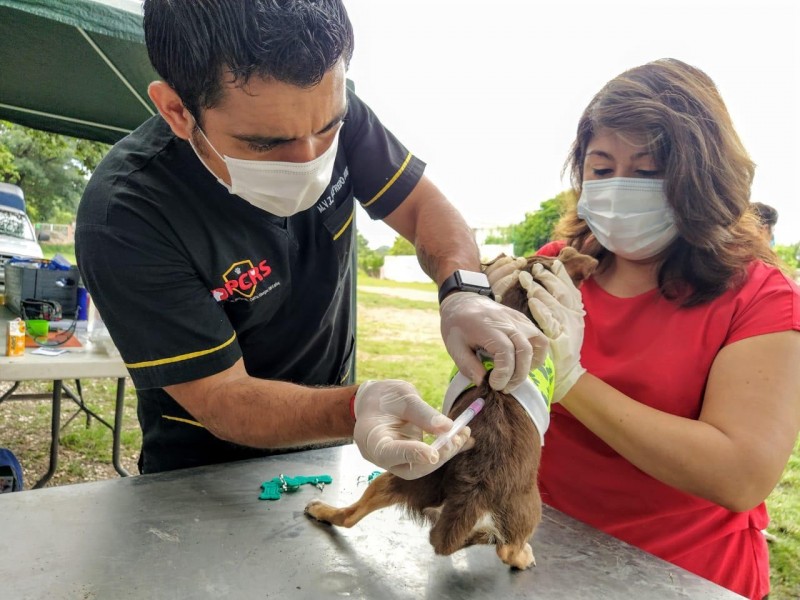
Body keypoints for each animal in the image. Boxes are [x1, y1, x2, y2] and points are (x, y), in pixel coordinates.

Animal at [306, 246, 600, 568]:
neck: (524, 308)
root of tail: (475, 486)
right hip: (529, 512)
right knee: (507, 549)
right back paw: (522, 555)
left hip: (397, 479)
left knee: (349, 516)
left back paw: (322, 510)